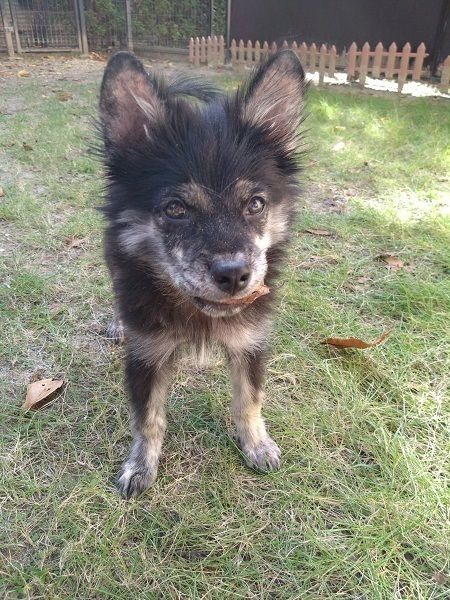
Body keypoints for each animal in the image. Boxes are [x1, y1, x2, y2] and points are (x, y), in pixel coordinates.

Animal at [98, 50, 305, 498]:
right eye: (176, 209)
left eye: (256, 204)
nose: (234, 275)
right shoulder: (147, 352)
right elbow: (148, 418)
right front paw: (140, 465)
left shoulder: (250, 342)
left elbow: (249, 400)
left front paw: (257, 445)